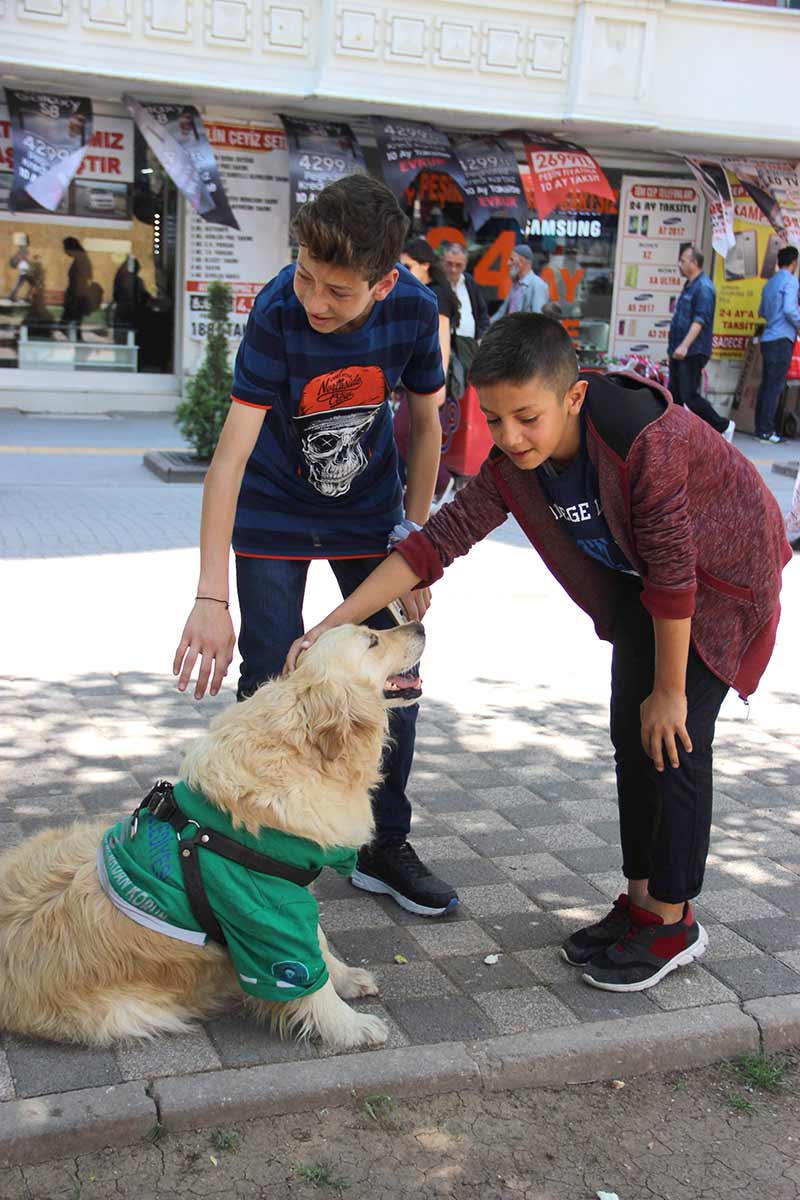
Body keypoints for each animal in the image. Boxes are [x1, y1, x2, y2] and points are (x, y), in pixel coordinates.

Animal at [0, 624, 424, 1046]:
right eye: (372, 640)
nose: (419, 624)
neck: (302, 749)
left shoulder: (286, 891)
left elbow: (318, 941)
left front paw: (346, 978)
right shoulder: (263, 907)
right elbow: (304, 974)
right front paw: (350, 1026)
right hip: (131, 1014)